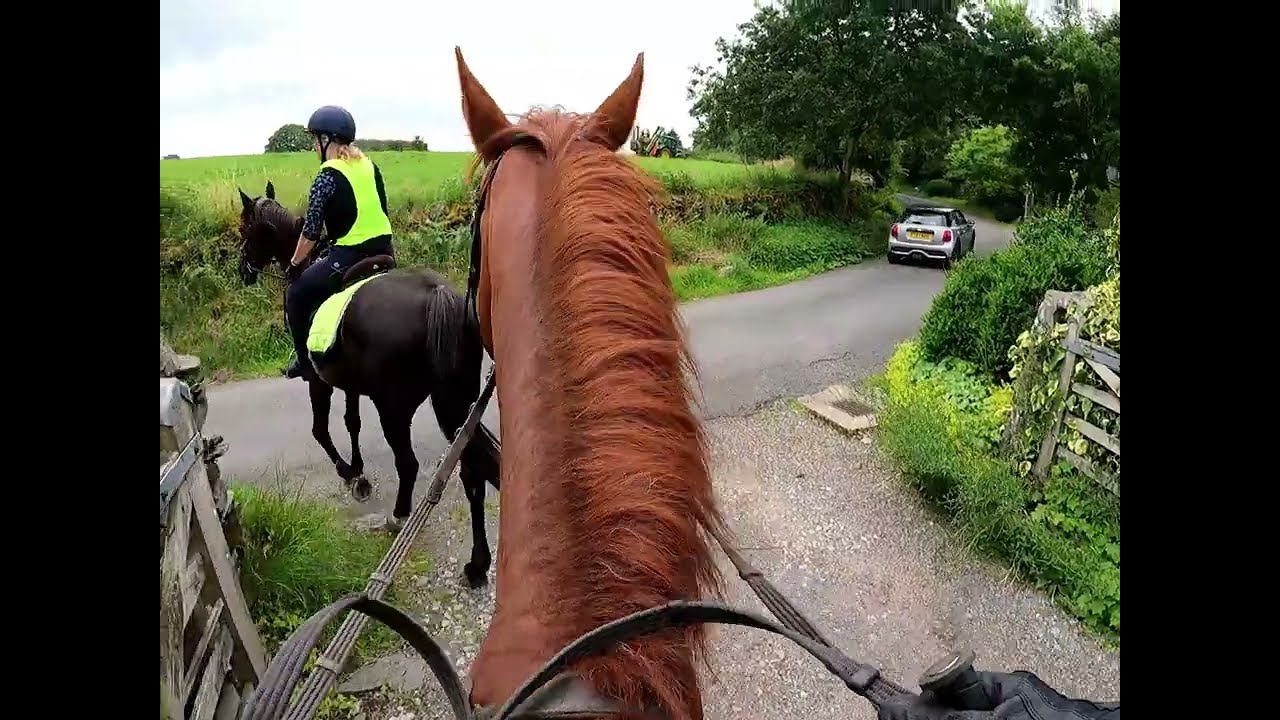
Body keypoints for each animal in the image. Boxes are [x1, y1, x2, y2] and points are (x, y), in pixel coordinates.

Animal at [235, 183, 502, 589]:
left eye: (244, 227)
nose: (243, 269)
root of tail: (436, 292)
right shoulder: (352, 386)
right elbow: (352, 422)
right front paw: (359, 468)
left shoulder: (320, 381)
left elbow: (320, 429)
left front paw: (350, 474)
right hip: (460, 403)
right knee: (472, 471)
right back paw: (477, 564)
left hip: (394, 408)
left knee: (408, 463)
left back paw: (399, 516)